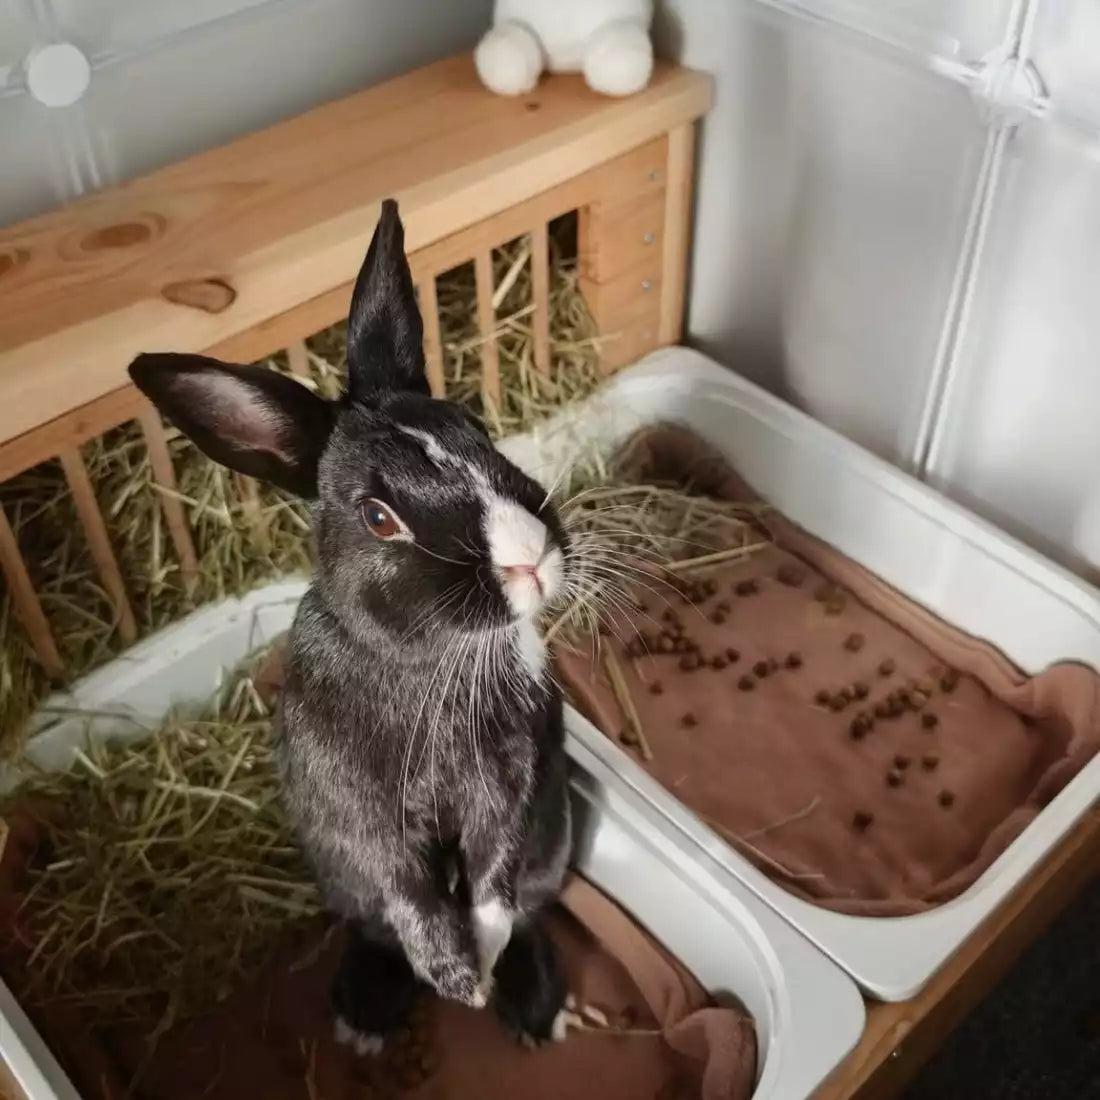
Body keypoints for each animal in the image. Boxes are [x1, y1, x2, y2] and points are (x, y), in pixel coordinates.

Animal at [127, 199, 575, 1050]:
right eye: (377, 517)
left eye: (476, 429)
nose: (529, 556)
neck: (423, 662)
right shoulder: (358, 817)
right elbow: (409, 893)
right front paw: (456, 979)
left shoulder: (512, 785)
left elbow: (493, 882)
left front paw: (483, 963)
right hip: (336, 873)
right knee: (376, 929)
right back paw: (365, 1012)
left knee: (538, 907)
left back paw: (538, 1008)